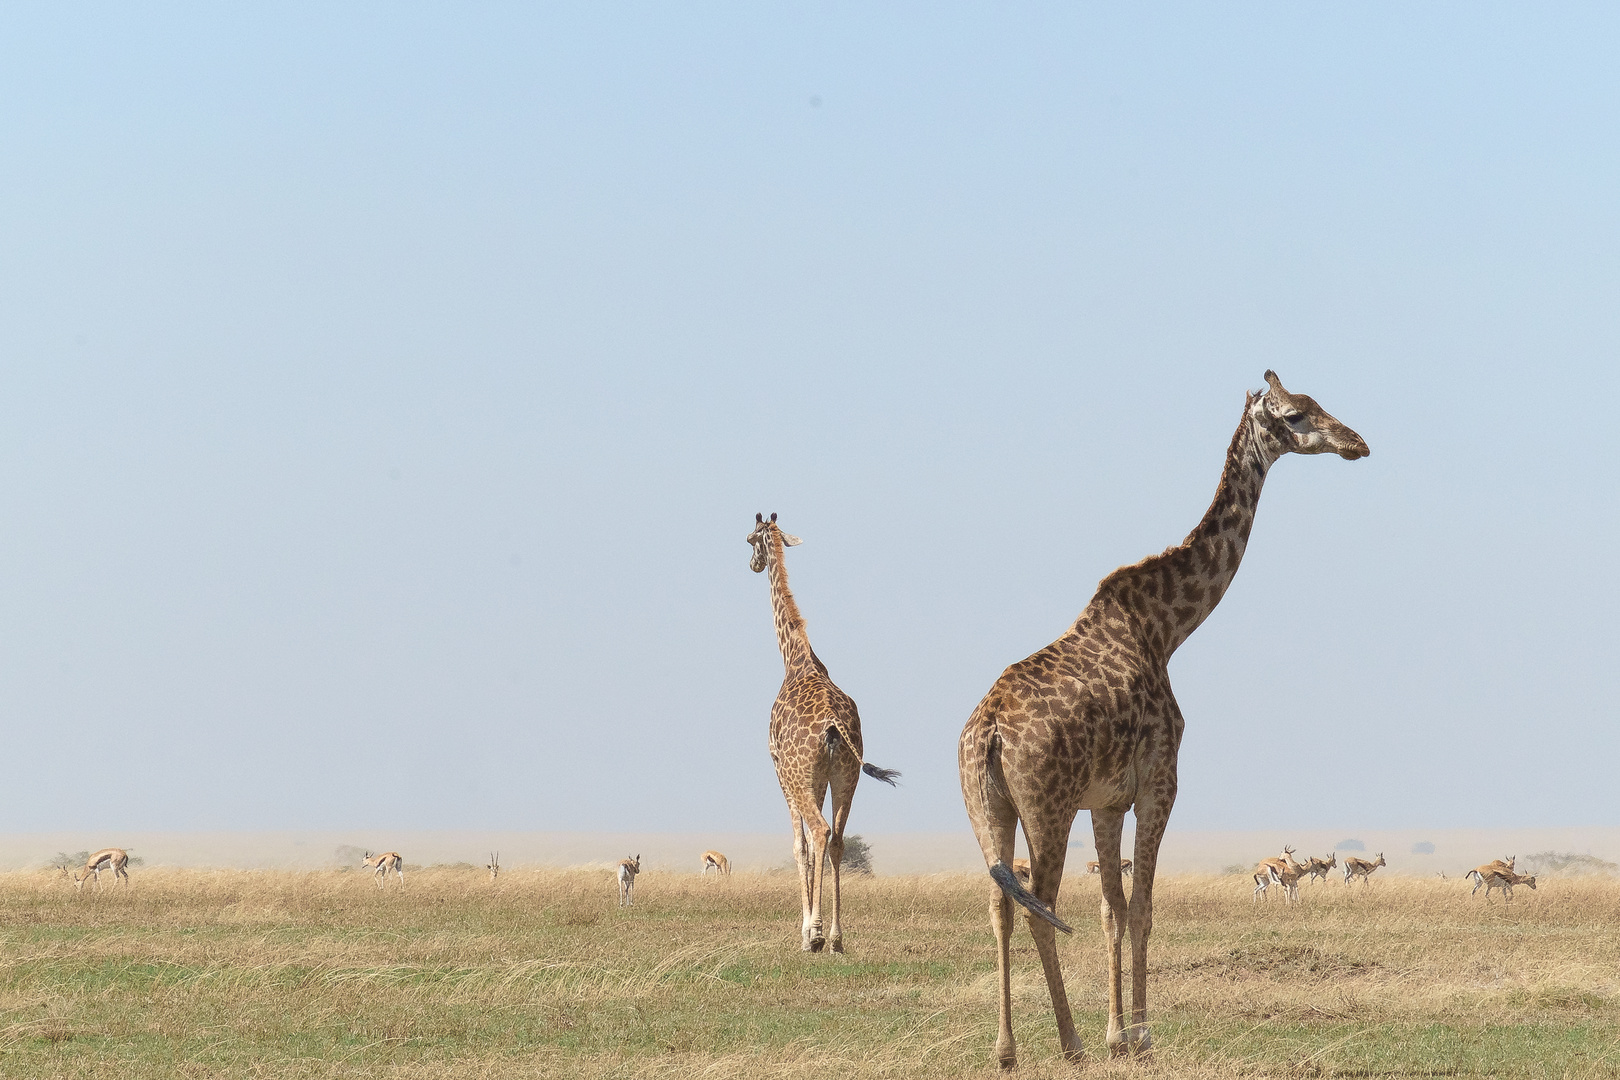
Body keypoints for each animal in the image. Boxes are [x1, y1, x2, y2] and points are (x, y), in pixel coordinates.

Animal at [745, 511, 900, 952]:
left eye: (750, 539)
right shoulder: (819, 778)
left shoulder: (780, 768)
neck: (796, 657)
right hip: (846, 774)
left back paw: (815, 936)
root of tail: (833, 726)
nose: (753, 565)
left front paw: (804, 930)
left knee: (818, 833)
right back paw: (836, 937)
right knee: (837, 840)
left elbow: (799, 847)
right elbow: (820, 849)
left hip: (801, 773)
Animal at [952, 372, 1373, 1062]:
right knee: (1040, 904)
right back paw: (1067, 1042)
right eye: (1295, 415)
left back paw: (1006, 1049)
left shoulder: (1104, 800)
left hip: (988, 805)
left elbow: (1112, 910)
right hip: (1046, 805)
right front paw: (1140, 1034)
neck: (1167, 629)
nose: (1356, 442)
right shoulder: (1159, 782)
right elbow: (1144, 907)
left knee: (1000, 903)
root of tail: (985, 733)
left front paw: (1117, 1033)